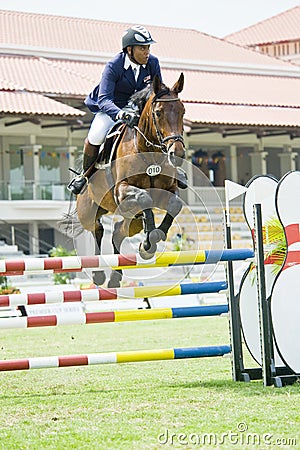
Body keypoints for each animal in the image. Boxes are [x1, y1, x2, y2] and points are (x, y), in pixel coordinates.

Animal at [75, 72, 185, 286]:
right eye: (158, 113)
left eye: (183, 111)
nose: (177, 154)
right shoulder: (122, 190)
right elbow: (144, 198)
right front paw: (150, 239)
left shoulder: (168, 190)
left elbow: (175, 204)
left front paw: (151, 240)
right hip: (87, 210)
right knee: (97, 228)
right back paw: (98, 274)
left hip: (130, 219)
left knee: (118, 231)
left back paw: (115, 277)